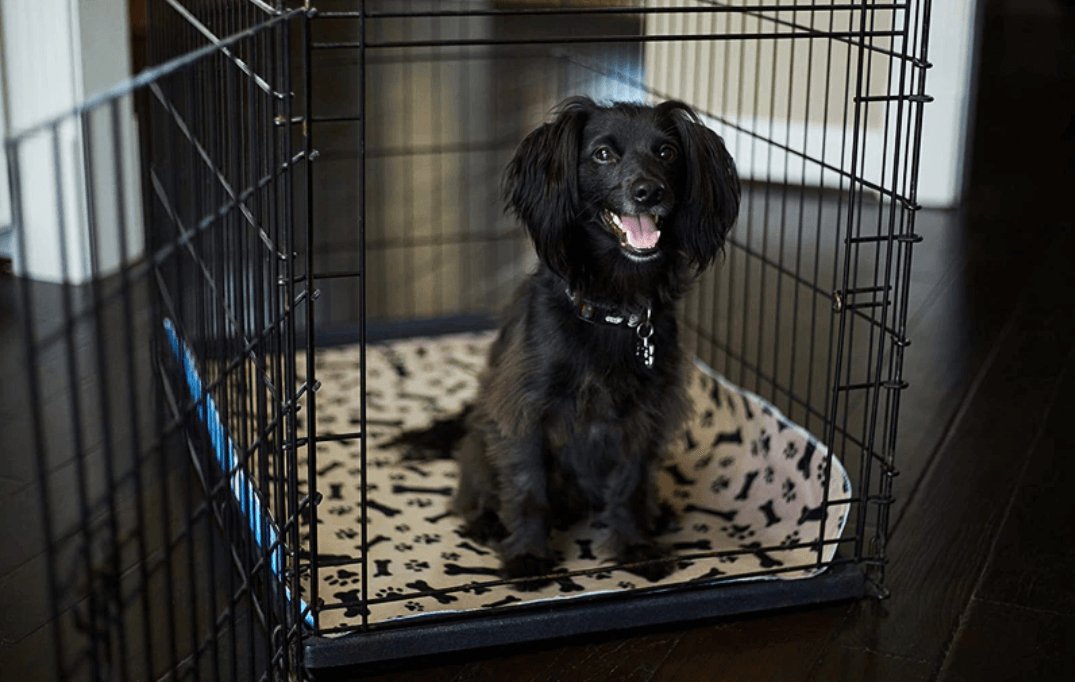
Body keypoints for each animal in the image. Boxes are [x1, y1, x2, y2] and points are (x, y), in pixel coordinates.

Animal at [395, 98, 739, 580]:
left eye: (667, 152)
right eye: (602, 154)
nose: (648, 191)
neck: (613, 307)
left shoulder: (647, 413)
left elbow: (631, 485)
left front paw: (635, 546)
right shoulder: (524, 410)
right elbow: (528, 486)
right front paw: (528, 555)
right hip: (481, 442)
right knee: (473, 491)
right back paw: (486, 521)